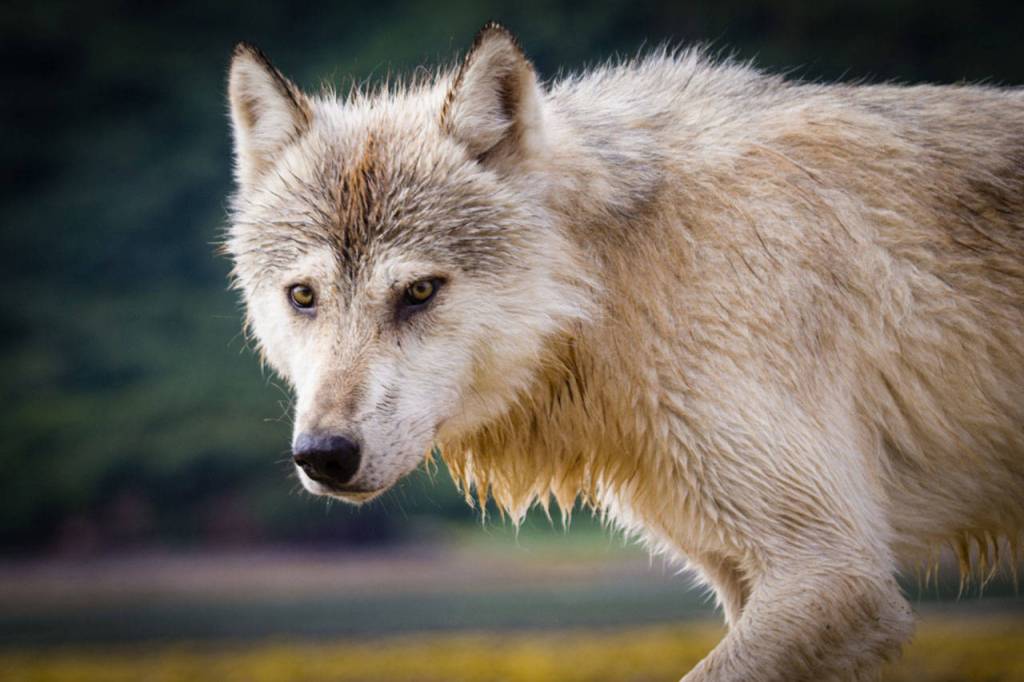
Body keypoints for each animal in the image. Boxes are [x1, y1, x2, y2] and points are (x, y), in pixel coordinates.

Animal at [224, 23, 1024, 681]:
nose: (324, 455)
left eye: (419, 291)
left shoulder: (835, 573)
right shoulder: (746, 579)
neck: (625, 278)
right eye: (304, 296)